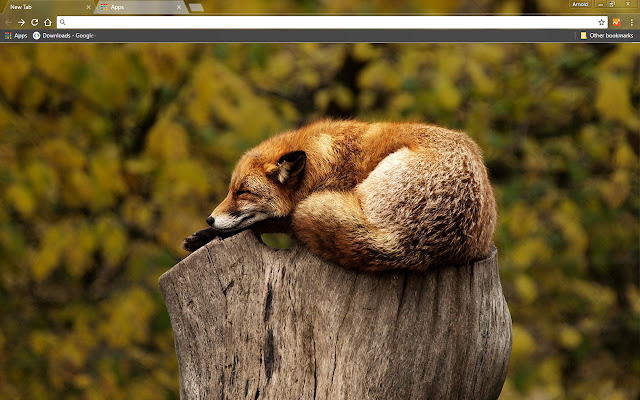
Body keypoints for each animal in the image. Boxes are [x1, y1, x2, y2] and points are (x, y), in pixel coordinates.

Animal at [182, 119, 497, 271]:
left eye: (243, 192)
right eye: (230, 190)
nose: (209, 219)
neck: (323, 163)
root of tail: (407, 245)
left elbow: (265, 222)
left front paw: (206, 235)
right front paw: (201, 236)